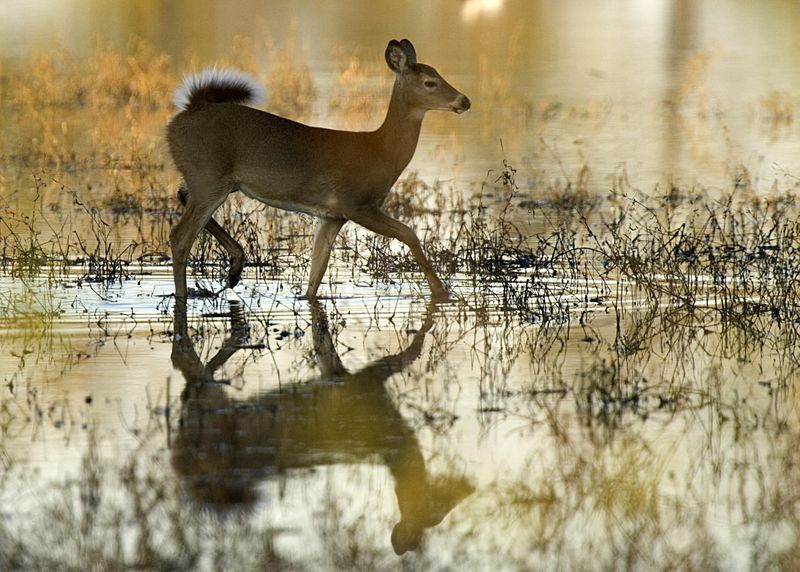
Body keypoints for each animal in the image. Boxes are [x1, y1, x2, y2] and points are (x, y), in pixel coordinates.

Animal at [167, 39, 470, 305]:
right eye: (430, 82)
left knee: (182, 197)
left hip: (207, 179)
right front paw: (442, 292)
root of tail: (187, 112)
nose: (464, 101)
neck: (380, 151)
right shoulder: (358, 204)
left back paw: (234, 269)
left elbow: (316, 273)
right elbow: (410, 234)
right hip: (208, 178)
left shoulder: (332, 216)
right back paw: (184, 295)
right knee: (179, 237)